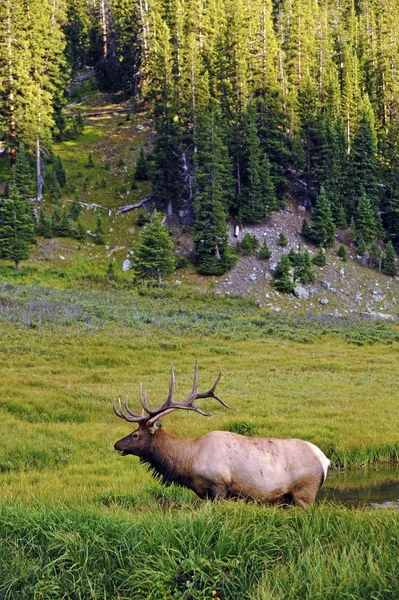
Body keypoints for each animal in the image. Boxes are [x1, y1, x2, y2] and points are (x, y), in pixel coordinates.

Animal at [113, 360, 332, 506]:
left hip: (305, 494)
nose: (116, 444)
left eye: (135, 435)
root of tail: (325, 460)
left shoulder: (219, 486)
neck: (189, 462)